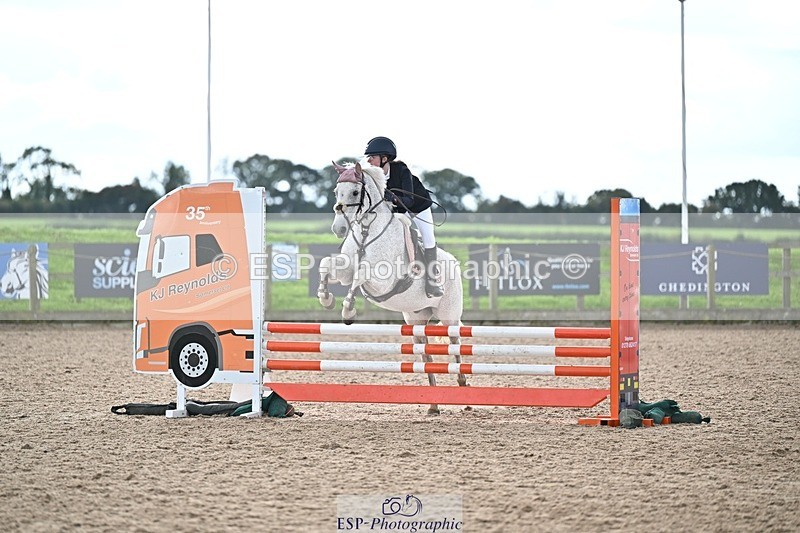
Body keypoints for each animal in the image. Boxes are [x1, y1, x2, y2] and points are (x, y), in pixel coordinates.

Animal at [316, 161, 465, 414]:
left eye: (355, 192)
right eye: (337, 192)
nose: (339, 229)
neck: (367, 230)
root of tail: (454, 262)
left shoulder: (382, 278)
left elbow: (361, 275)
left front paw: (348, 310)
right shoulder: (345, 271)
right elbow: (327, 265)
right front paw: (325, 298)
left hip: (449, 316)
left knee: (455, 344)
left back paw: (464, 385)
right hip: (416, 319)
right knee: (426, 357)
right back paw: (433, 404)